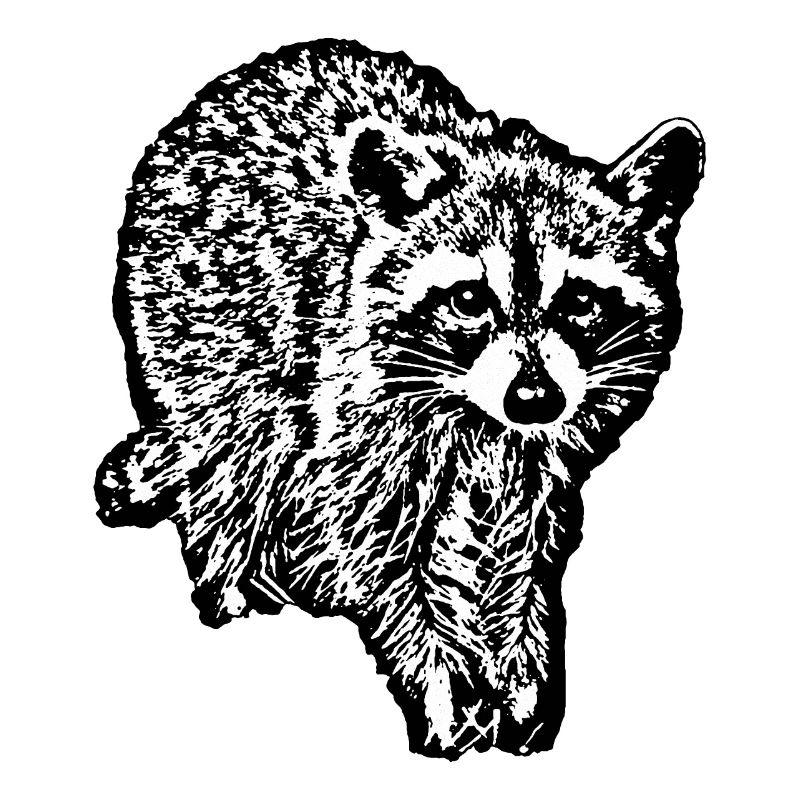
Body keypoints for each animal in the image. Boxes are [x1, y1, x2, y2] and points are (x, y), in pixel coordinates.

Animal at [96, 39, 704, 758]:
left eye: (581, 300)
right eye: (468, 299)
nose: (534, 397)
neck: (478, 416)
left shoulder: (534, 455)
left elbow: (522, 548)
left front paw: (522, 660)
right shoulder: (356, 406)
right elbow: (367, 548)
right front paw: (437, 667)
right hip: (205, 327)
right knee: (238, 447)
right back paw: (233, 580)